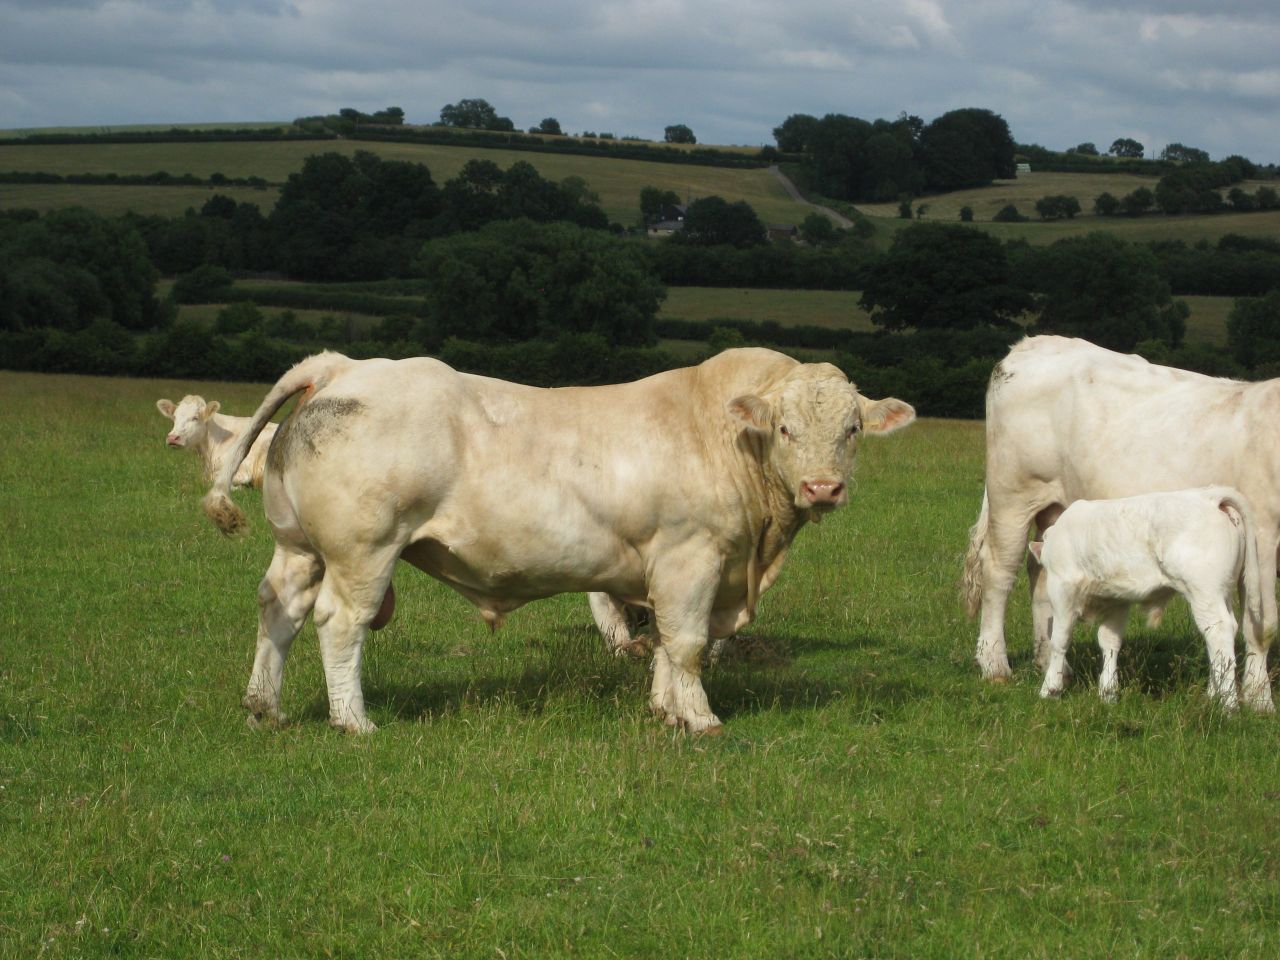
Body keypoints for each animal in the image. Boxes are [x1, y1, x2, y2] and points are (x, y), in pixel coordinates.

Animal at [201, 348, 915, 733]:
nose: (823, 488)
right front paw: (700, 719)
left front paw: (664, 710)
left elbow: (663, 643)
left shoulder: (672, 572)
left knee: (279, 611)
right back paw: (355, 720)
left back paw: (264, 707)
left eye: (852, 428)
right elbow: (686, 643)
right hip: (362, 553)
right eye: (786, 428)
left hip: (299, 547)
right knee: (339, 623)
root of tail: (345, 367)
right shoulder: (693, 556)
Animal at [1028, 487, 1263, 708]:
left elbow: (1060, 639)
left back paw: (1227, 704)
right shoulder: (1117, 600)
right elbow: (1109, 641)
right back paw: (1213, 696)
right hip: (1222, 591)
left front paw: (1050, 689)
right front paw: (1108, 693)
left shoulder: (1062, 588)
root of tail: (1210, 495)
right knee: (1222, 633)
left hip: (1204, 591)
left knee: (1219, 632)